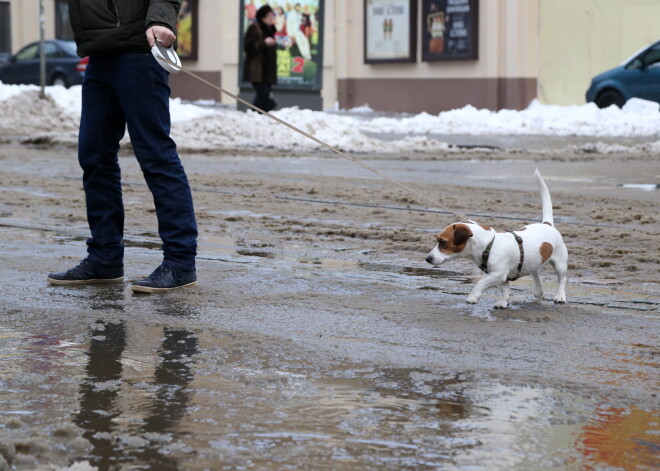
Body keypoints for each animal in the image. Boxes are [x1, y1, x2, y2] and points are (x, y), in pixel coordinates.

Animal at [428, 171, 568, 310]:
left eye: (443, 242)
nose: (428, 259)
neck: (488, 245)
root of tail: (547, 224)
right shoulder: (501, 277)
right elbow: (504, 289)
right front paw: (503, 302)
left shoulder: (498, 274)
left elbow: (481, 282)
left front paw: (473, 297)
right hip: (535, 259)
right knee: (535, 271)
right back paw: (538, 289)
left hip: (560, 264)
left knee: (562, 279)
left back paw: (560, 296)